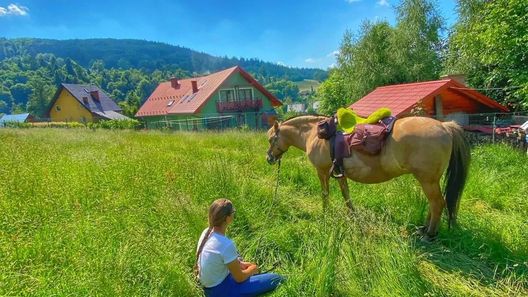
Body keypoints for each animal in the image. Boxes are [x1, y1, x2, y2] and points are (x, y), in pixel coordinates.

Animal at [268, 114, 470, 239]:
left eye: (271, 139)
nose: (269, 158)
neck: (314, 135)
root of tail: (444, 126)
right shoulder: (339, 173)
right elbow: (346, 196)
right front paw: (353, 216)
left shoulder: (322, 171)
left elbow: (325, 195)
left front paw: (325, 214)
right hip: (431, 180)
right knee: (434, 203)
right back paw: (424, 228)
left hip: (427, 180)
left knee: (437, 204)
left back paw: (429, 234)